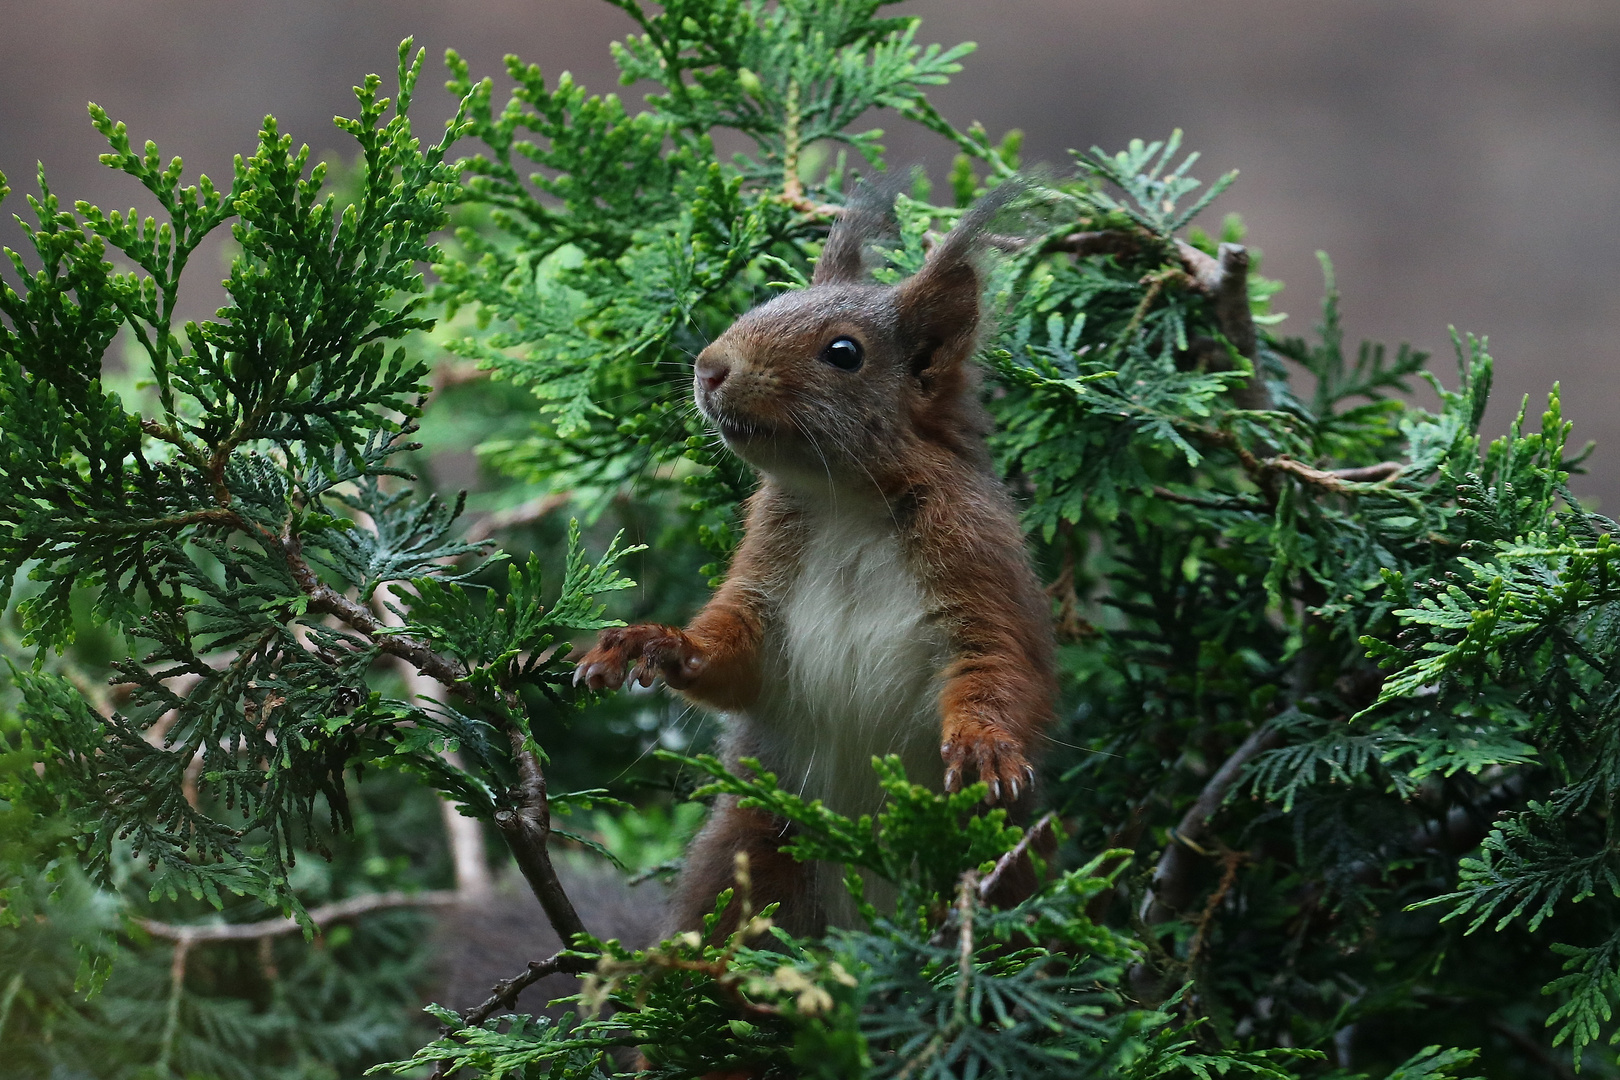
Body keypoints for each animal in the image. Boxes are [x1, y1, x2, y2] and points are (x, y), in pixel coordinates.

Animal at [576, 186, 1056, 939]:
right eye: (766, 302)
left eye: (843, 352)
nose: (708, 367)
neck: (847, 503)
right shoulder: (766, 573)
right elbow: (732, 655)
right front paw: (655, 643)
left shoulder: (982, 566)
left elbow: (1001, 666)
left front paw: (983, 742)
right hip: (749, 851)